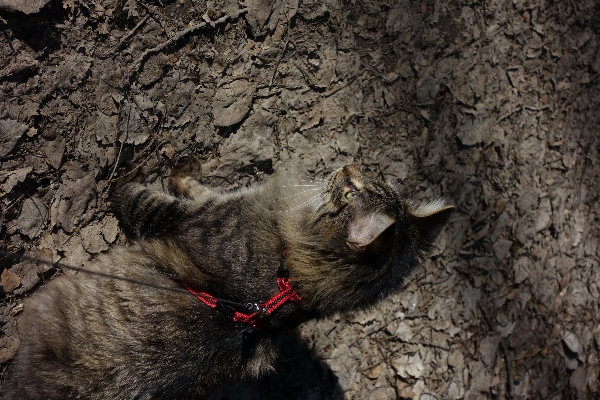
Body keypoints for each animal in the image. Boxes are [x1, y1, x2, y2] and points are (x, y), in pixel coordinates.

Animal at [2, 161, 454, 398]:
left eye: (353, 188)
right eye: (366, 177)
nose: (347, 164)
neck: (289, 281)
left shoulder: (189, 220)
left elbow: (136, 195)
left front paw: (121, 178)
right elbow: (200, 188)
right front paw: (181, 177)